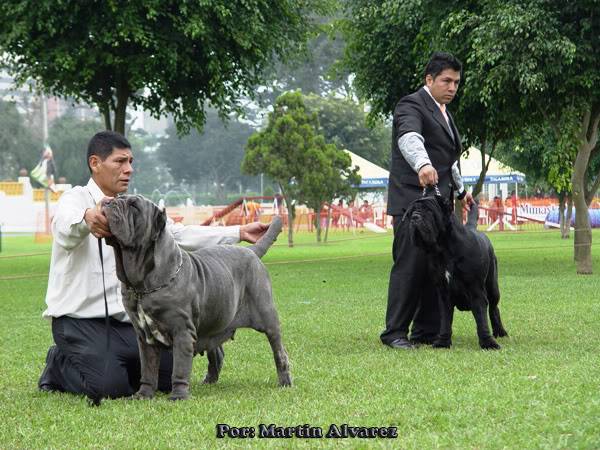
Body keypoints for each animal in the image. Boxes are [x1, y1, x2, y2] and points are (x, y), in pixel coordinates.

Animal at [103, 195, 290, 400]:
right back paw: (209, 381)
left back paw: (285, 382)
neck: (142, 285)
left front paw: (178, 396)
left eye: (134, 206)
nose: (108, 201)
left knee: (279, 352)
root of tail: (251, 251)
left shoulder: (182, 331)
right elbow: (148, 369)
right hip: (213, 322)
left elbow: (179, 367)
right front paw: (144, 394)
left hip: (267, 317)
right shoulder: (145, 337)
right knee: (217, 352)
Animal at [406, 192, 508, 348]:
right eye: (411, 212)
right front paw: (442, 342)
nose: (415, 217)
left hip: (492, 286)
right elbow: (445, 320)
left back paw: (499, 331)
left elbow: (481, 319)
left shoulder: (476, 290)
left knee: (493, 308)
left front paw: (488, 342)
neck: (444, 249)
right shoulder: (443, 292)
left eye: (429, 210)